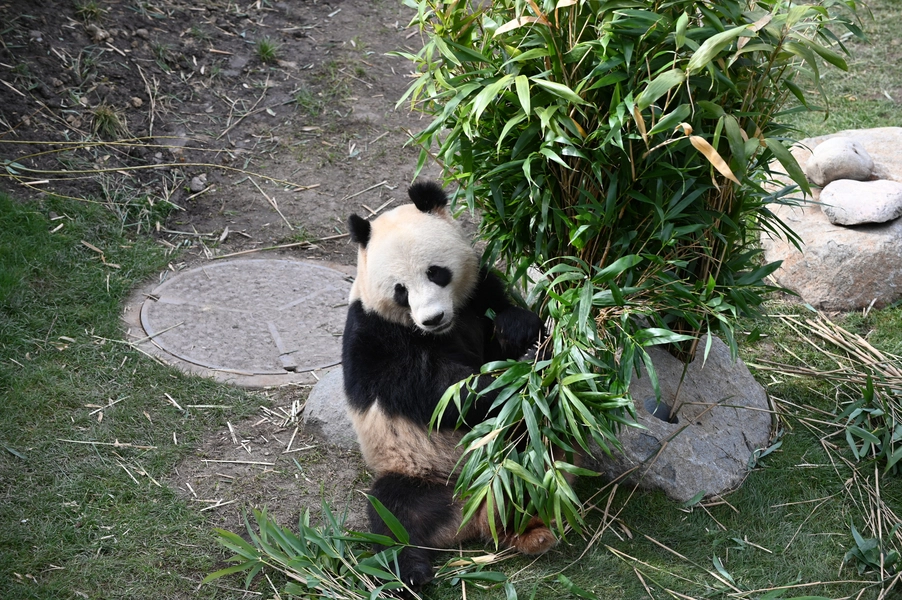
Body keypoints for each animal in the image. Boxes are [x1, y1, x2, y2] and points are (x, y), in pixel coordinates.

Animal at [342, 180, 556, 590]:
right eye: (400, 290)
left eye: (436, 272)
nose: (432, 318)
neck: (444, 329)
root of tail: (472, 513)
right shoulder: (375, 334)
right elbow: (435, 391)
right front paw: (499, 385)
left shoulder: (479, 292)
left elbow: (506, 319)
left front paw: (519, 337)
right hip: (414, 472)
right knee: (392, 515)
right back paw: (411, 573)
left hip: (522, 456)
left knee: (542, 464)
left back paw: (533, 528)